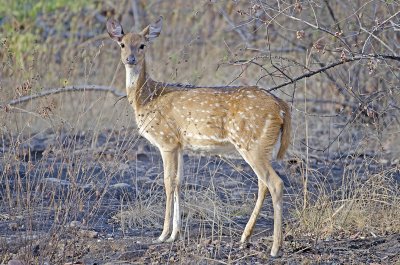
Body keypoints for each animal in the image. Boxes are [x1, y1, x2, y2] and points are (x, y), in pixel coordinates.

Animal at [106, 16, 292, 256]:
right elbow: (179, 182)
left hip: (252, 143)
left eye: (142, 45)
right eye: (122, 44)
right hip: (261, 146)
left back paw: (275, 248)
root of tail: (282, 106)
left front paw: (162, 235)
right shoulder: (179, 145)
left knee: (275, 183)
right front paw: (175, 235)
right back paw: (245, 237)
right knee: (263, 184)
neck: (146, 98)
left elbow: (167, 182)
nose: (130, 59)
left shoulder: (166, 141)